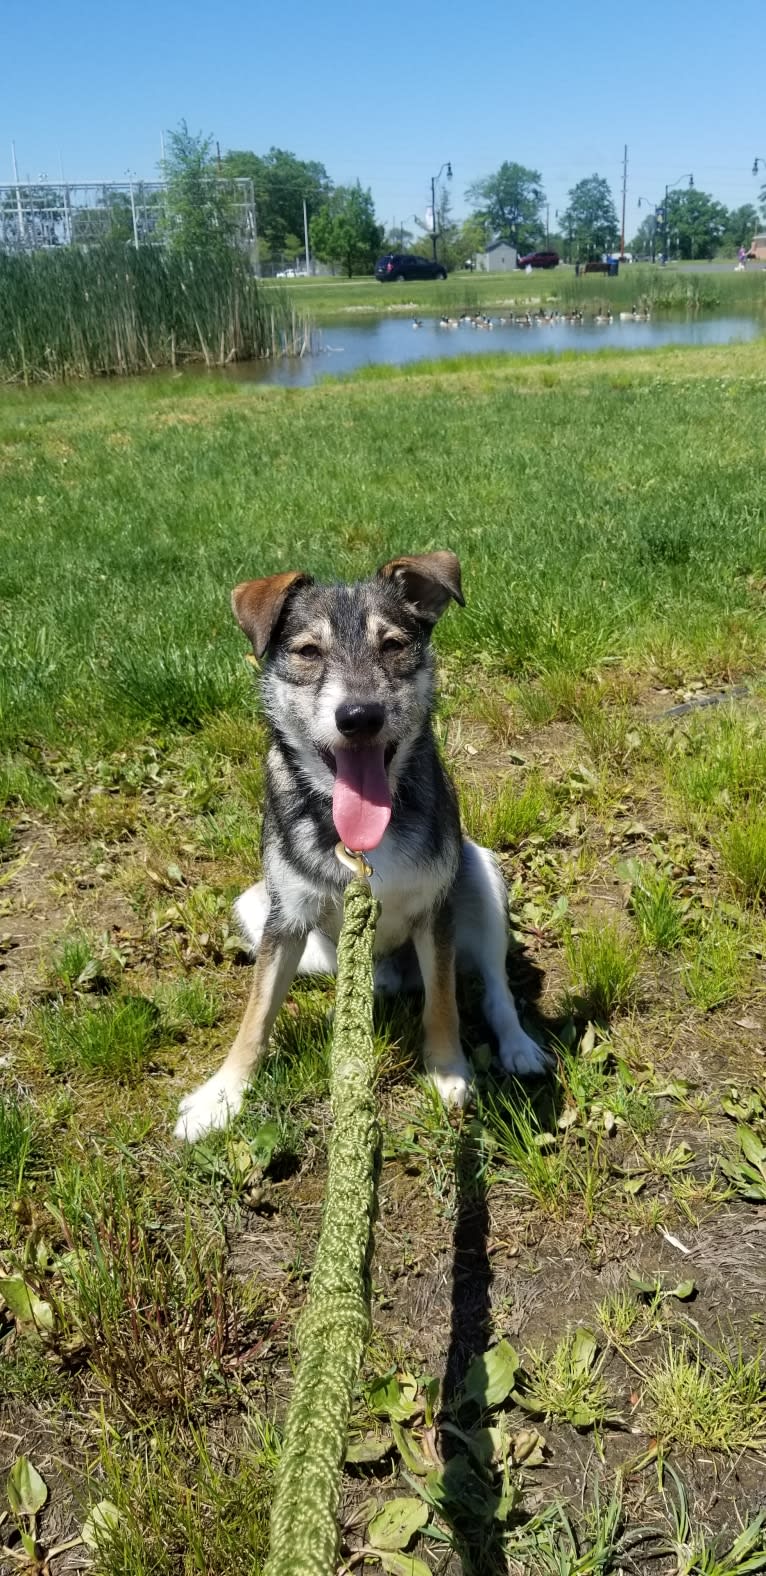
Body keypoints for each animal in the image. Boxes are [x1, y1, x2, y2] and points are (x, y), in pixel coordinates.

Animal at [174, 557, 545, 1147]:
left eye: (392, 644)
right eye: (308, 651)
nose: (359, 715)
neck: (362, 843)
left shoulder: (435, 911)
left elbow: (444, 1001)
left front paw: (448, 1071)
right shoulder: (285, 919)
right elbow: (257, 1012)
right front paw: (221, 1097)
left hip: (481, 874)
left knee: (494, 986)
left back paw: (517, 1045)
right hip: (258, 909)